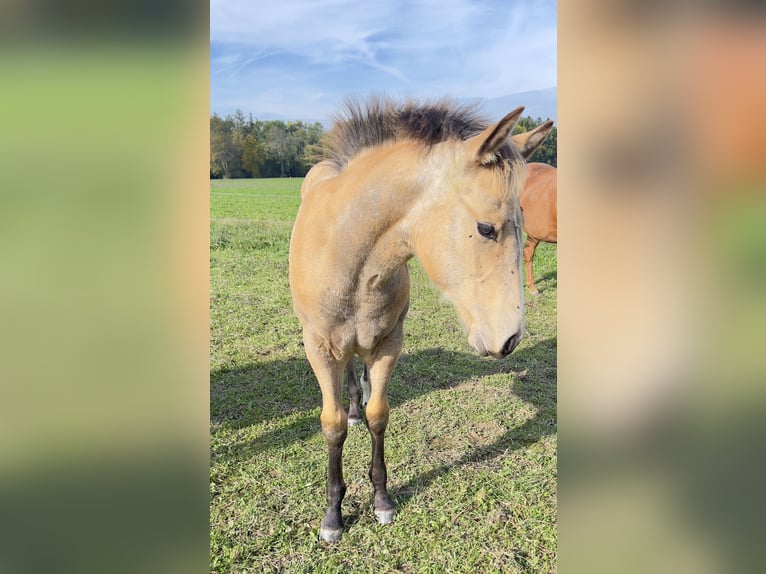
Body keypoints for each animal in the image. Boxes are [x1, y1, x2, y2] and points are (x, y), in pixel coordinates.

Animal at [288, 95, 552, 544]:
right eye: (486, 228)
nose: (510, 339)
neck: (350, 254)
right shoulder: (319, 349)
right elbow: (332, 425)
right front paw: (333, 515)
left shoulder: (389, 344)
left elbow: (379, 415)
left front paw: (381, 500)